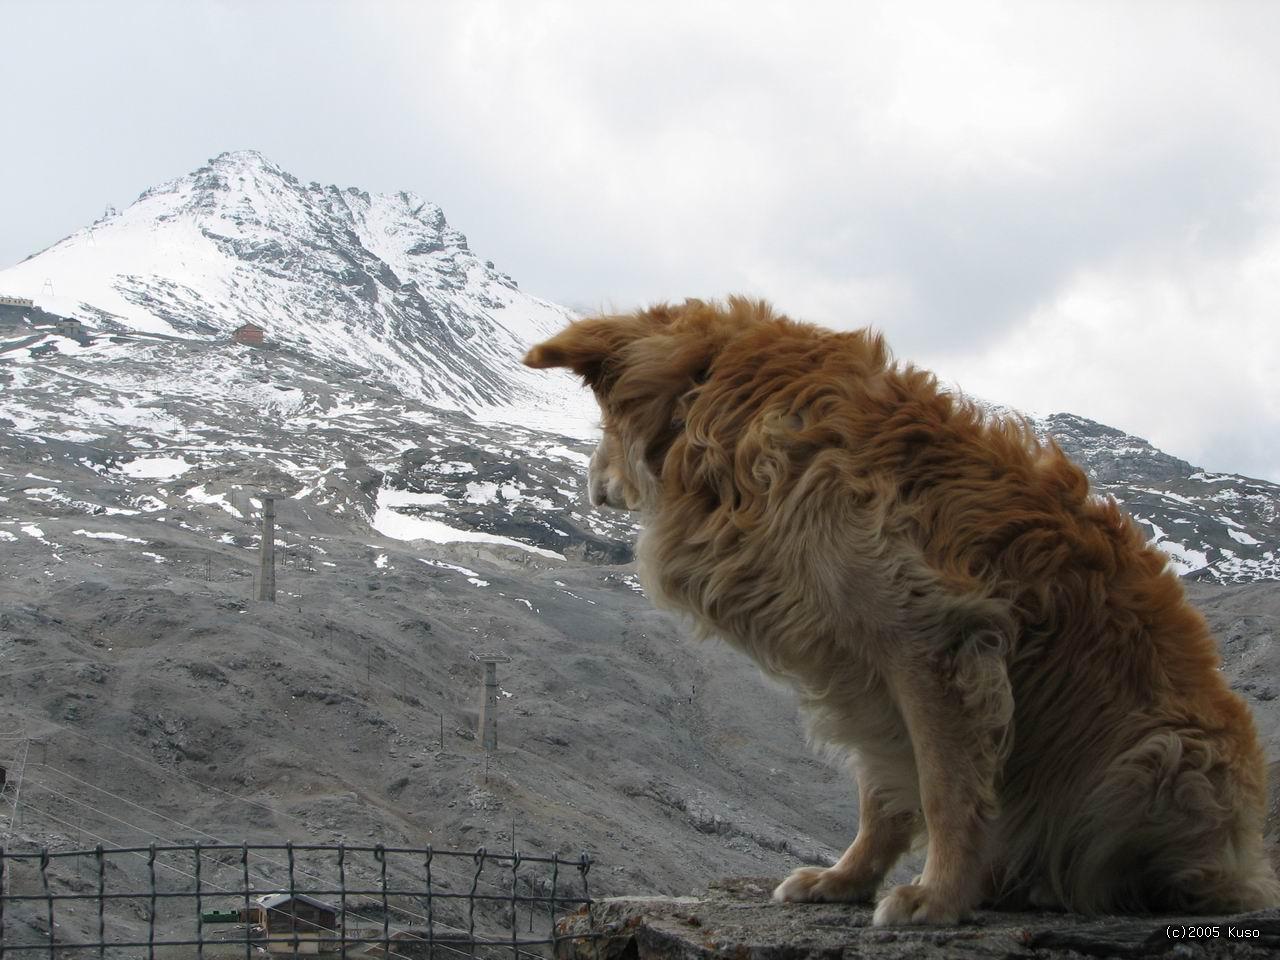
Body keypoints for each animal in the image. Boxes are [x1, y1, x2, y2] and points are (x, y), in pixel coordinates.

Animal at [522, 299, 1280, 926]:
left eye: (602, 423)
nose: (588, 483)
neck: (724, 402)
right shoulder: (863, 676)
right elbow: (885, 793)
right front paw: (847, 880)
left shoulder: (932, 643)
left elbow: (947, 789)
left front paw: (938, 897)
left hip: (1158, 756)